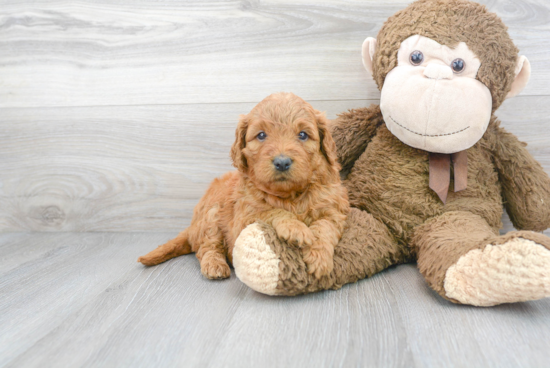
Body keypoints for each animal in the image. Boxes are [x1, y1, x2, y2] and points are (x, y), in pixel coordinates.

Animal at [137, 92, 350, 278]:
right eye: (261, 135)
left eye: (303, 135)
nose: (282, 162)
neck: (289, 195)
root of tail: (192, 226)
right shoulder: (243, 219)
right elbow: (270, 211)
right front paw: (295, 228)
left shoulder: (333, 209)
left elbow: (325, 227)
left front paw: (319, 258)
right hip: (211, 215)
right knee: (207, 246)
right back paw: (214, 265)